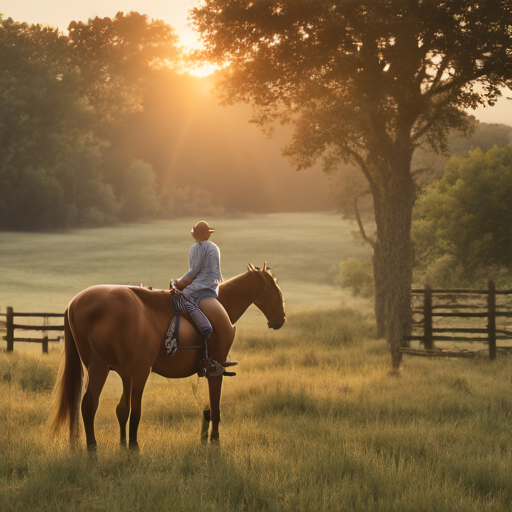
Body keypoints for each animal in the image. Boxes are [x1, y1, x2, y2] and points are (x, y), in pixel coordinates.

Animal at [49, 262, 284, 450]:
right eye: (276, 289)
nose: (281, 318)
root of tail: (74, 303)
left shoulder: (132, 373)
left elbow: (206, 410)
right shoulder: (214, 372)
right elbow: (215, 409)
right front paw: (215, 443)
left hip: (114, 371)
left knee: (100, 407)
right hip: (112, 369)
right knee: (99, 406)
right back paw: (110, 450)